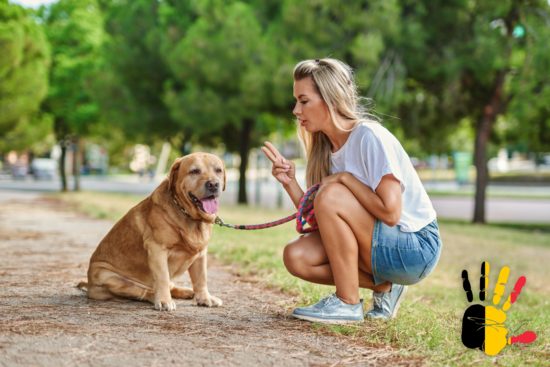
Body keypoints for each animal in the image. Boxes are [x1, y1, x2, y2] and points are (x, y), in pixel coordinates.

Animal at [77, 152, 224, 310]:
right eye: (194, 171)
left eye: (218, 170)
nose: (213, 184)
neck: (187, 214)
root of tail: (89, 286)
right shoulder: (157, 249)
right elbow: (162, 278)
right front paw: (165, 300)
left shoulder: (201, 254)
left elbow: (201, 279)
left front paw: (204, 298)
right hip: (109, 277)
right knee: (146, 291)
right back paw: (158, 297)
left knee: (169, 286)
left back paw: (187, 292)